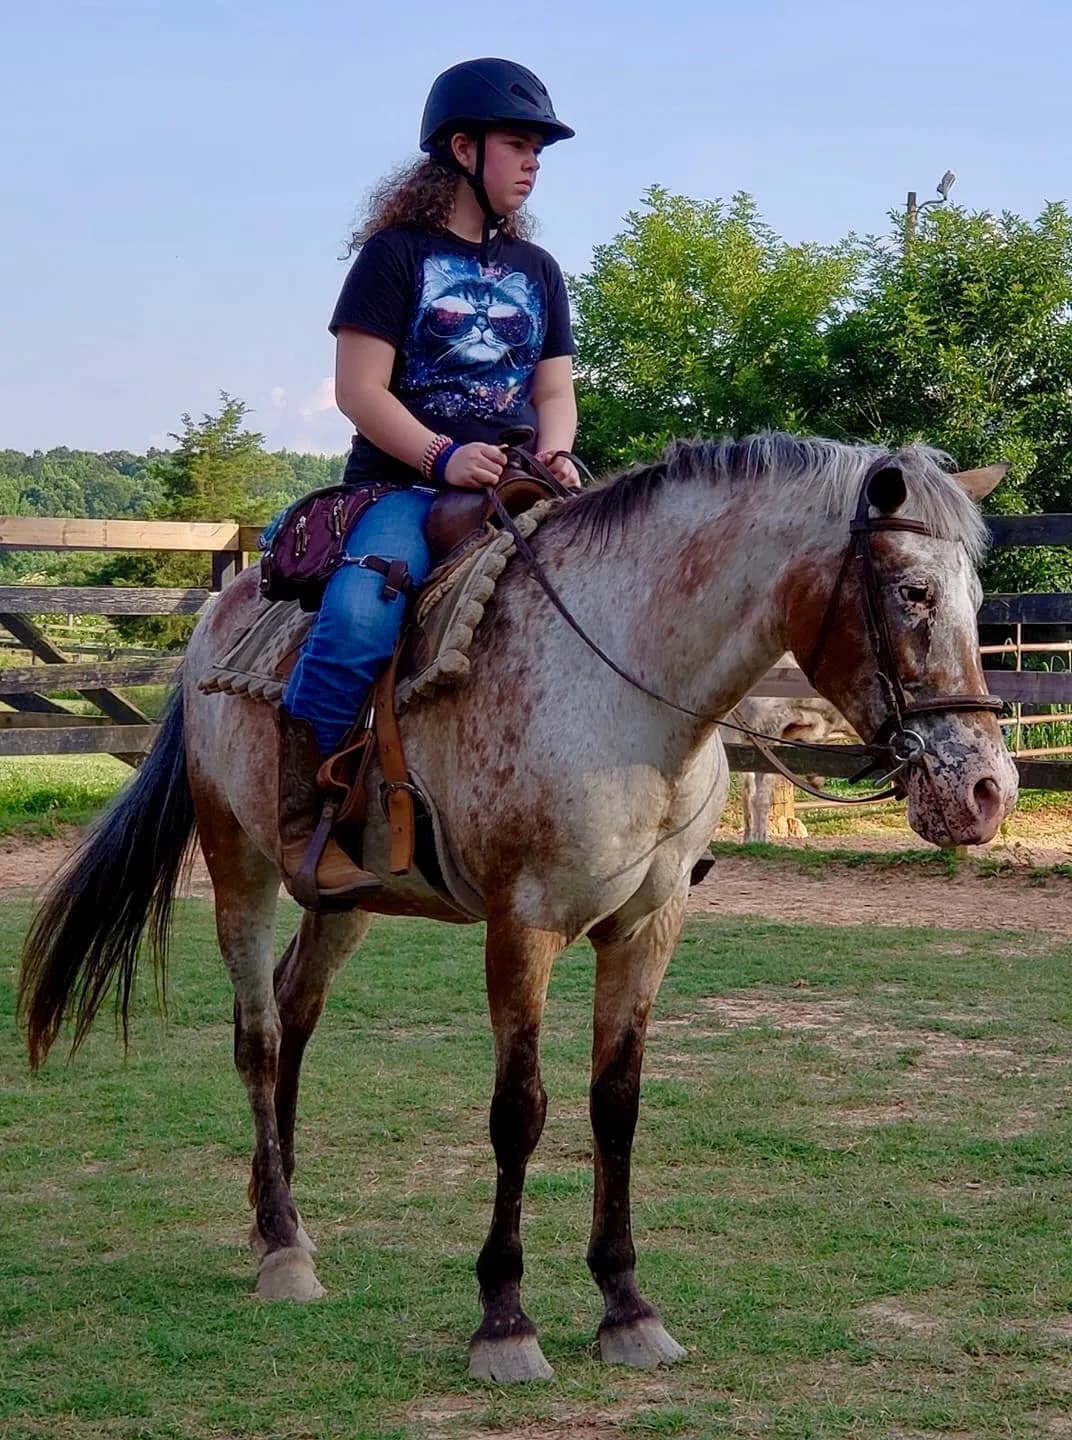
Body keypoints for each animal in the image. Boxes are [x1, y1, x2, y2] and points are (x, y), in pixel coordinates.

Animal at [18, 433, 1018, 1383]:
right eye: (914, 592)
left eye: (975, 596)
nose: (986, 791)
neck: (620, 699)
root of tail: (216, 620)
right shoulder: (522, 924)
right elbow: (519, 1111)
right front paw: (504, 1321)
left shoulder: (649, 927)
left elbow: (616, 1103)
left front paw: (627, 1306)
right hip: (239, 863)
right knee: (258, 1036)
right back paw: (283, 1252)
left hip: (343, 894)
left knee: (296, 1011)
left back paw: (278, 1217)